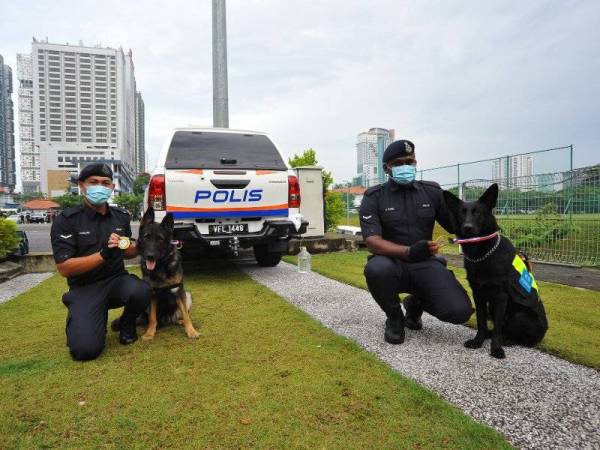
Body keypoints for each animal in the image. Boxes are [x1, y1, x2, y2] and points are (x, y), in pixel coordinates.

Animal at [138, 207, 199, 342]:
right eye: (146, 237)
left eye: (160, 239)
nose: (150, 256)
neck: (160, 267)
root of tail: (167, 319)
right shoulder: (152, 295)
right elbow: (152, 318)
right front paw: (150, 333)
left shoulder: (179, 292)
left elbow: (186, 316)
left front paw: (191, 331)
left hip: (187, 295)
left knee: (181, 316)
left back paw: (181, 322)